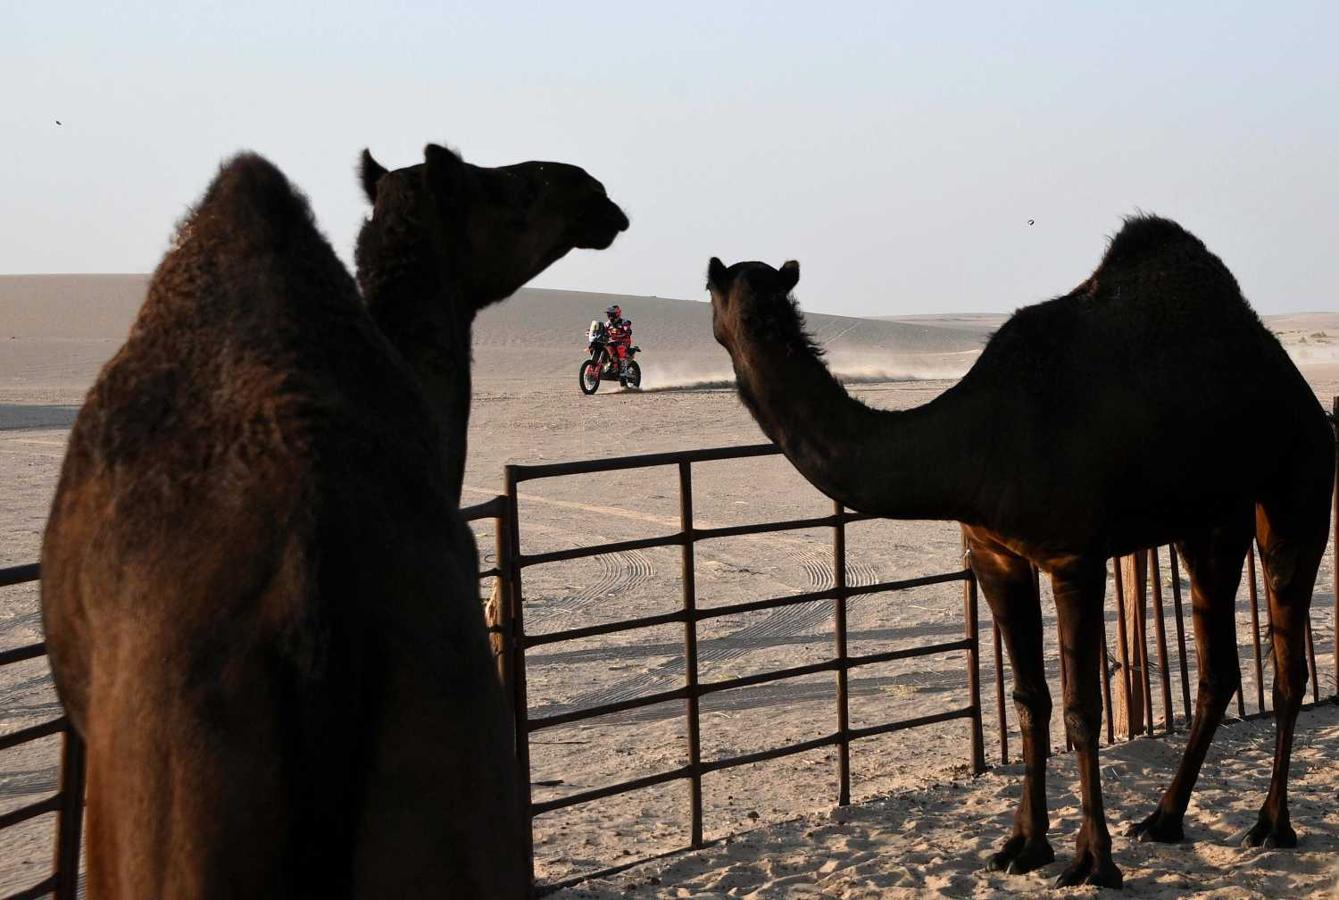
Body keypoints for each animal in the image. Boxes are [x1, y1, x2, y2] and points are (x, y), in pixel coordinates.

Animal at [706, 215, 1333, 883]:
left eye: (755, 298)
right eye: (737, 296)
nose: (758, 327)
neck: (973, 440)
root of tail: (1302, 393)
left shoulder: (1074, 559)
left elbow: (1085, 709)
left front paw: (1092, 862)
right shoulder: (996, 554)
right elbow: (1031, 697)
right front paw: (1022, 846)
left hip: (1299, 484)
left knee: (1288, 661)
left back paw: (1272, 825)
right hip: (1209, 522)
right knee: (1219, 668)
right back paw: (1163, 820)